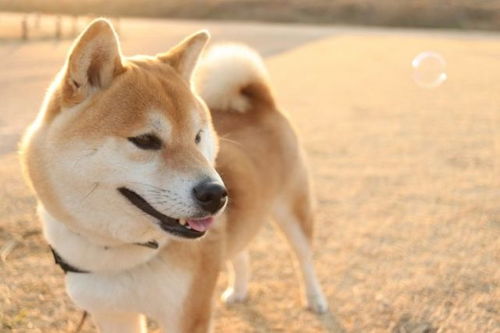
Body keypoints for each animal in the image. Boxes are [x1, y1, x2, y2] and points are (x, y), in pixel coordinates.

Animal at [20, 18, 328, 332]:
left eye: (197, 137)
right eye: (145, 140)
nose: (216, 194)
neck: (117, 253)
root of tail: (260, 103)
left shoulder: (187, 315)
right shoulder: (111, 313)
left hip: (293, 210)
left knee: (304, 258)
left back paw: (315, 298)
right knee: (240, 252)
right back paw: (239, 291)